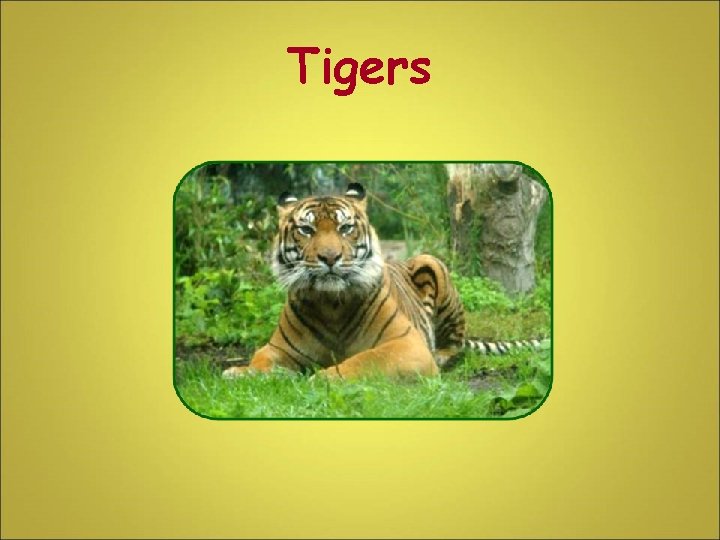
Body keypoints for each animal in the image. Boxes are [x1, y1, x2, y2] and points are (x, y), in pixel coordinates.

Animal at [222, 183, 545, 380]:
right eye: (306, 230)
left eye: (345, 228)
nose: (330, 257)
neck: (330, 305)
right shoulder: (279, 349)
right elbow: (260, 359)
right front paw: (241, 373)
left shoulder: (406, 345)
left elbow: (362, 361)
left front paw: (322, 378)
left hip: (433, 264)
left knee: (455, 343)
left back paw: (442, 356)